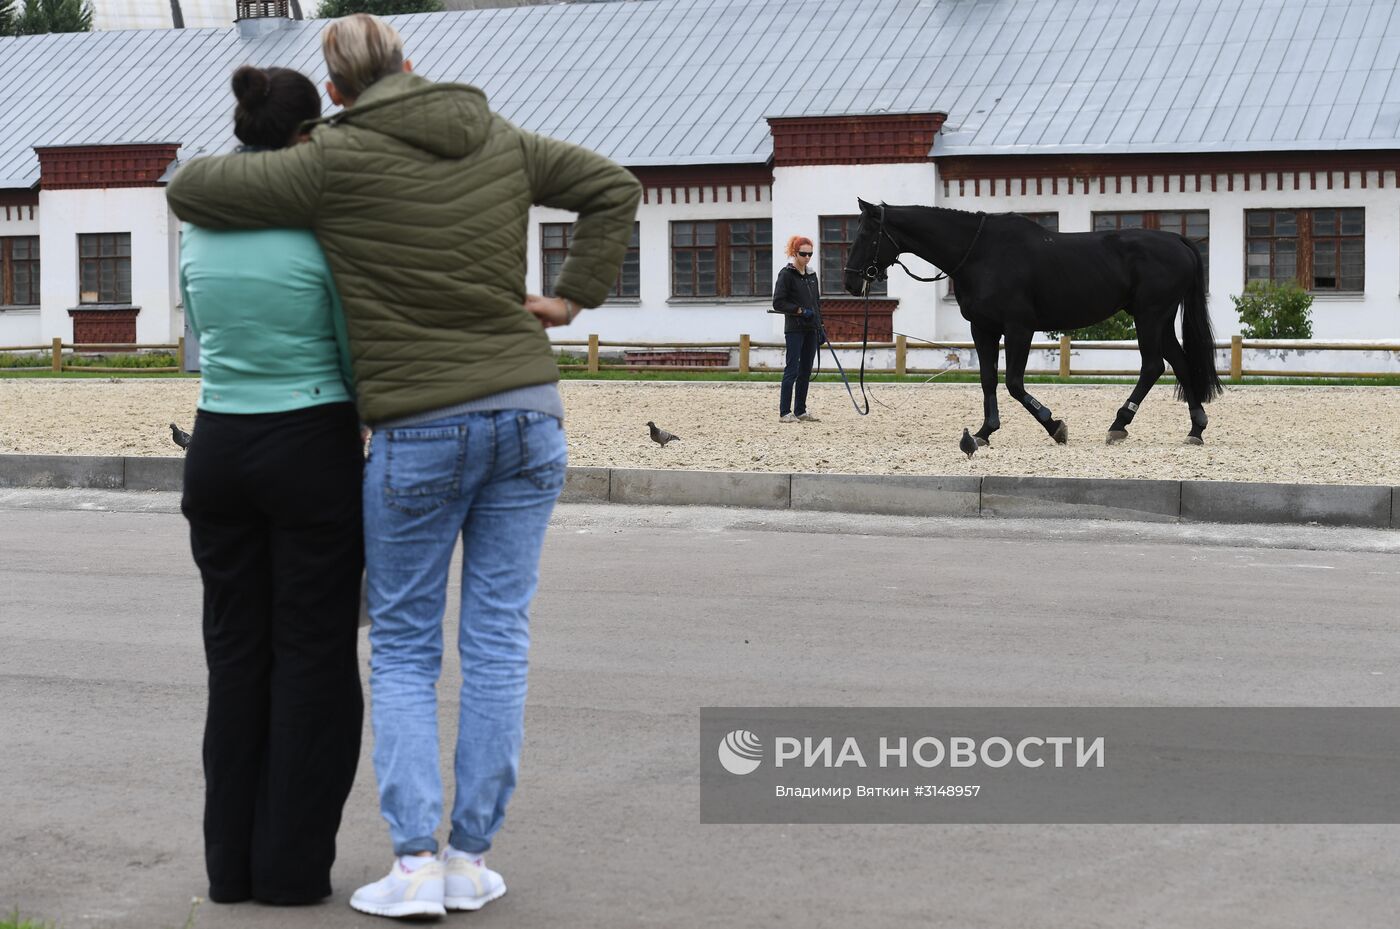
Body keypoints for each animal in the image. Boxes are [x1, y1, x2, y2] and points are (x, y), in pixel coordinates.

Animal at [834, 202, 1220, 447]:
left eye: (867, 234)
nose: (851, 281)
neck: (980, 253)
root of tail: (1177, 240)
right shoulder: (983, 329)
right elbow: (988, 379)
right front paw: (984, 431)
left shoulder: (1018, 328)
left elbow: (1014, 383)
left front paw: (1054, 425)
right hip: (1159, 318)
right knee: (1179, 362)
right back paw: (1196, 429)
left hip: (1149, 315)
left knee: (1153, 365)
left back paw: (1119, 425)